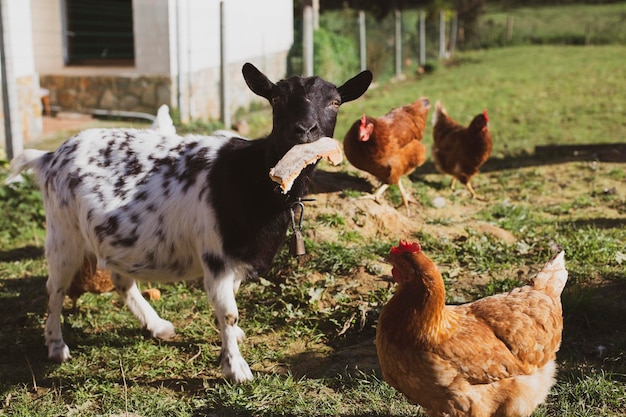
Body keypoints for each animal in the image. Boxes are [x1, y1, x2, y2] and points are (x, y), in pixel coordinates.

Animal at [8, 63, 370, 382]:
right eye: (277, 99)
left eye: (335, 101)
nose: (305, 131)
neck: (253, 176)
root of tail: (49, 157)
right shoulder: (216, 255)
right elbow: (228, 310)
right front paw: (236, 369)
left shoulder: (234, 258)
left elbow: (229, 305)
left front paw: (232, 341)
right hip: (63, 233)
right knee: (55, 288)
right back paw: (56, 346)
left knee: (121, 280)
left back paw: (156, 325)